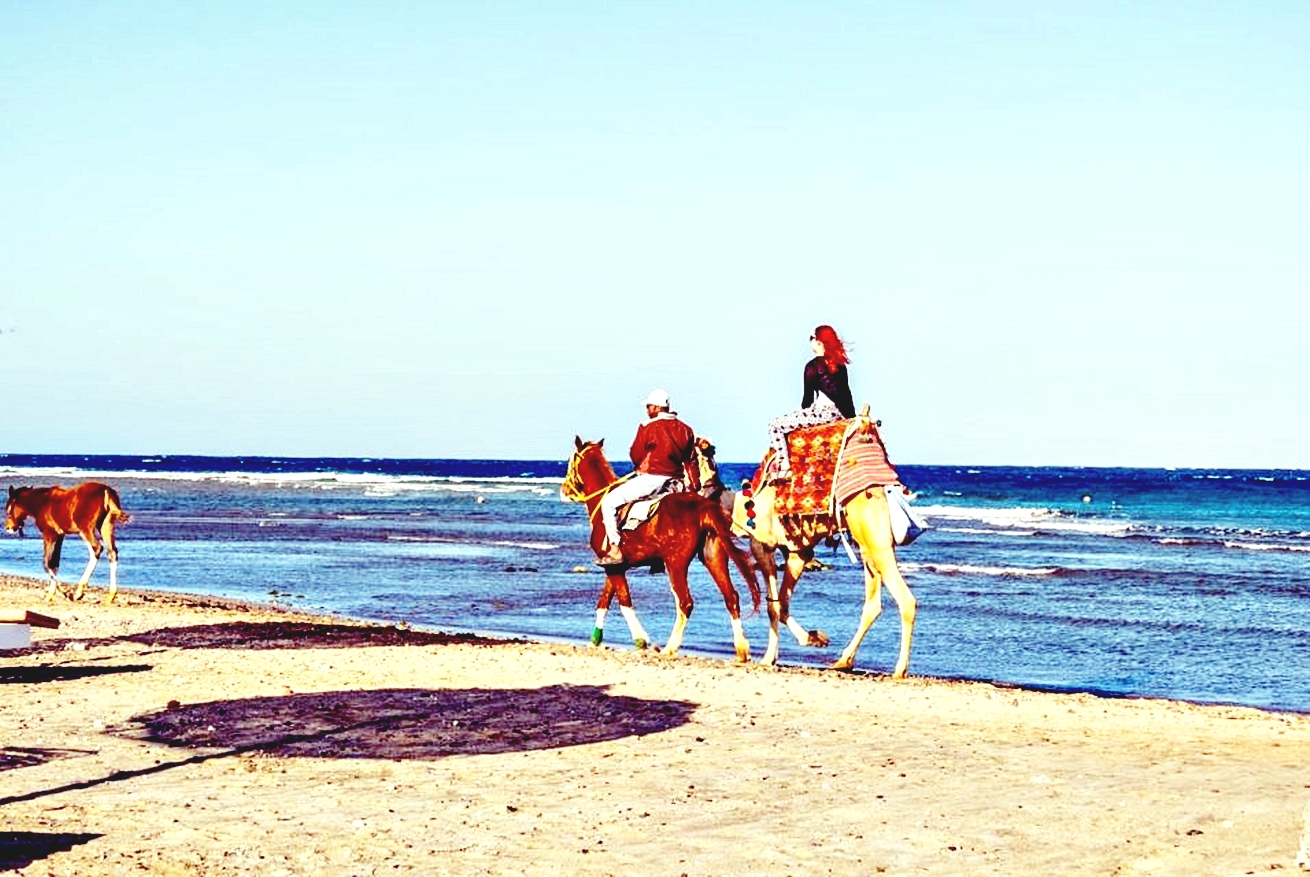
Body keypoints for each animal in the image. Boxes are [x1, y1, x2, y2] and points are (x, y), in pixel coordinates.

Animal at [561, 437, 761, 661]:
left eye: (569, 462)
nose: (563, 491)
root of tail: (702, 506)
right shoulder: (614, 565)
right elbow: (605, 600)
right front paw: (595, 639)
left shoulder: (614, 567)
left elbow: (624, 601)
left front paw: (640, 640)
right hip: (713, 556)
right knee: (731, 597)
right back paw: (741, 649)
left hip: (675, 563)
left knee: (685, 602)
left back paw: (670, 647)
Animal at [727, 413, 918, 677]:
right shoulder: (798, 551)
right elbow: (781, 602)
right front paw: (811, 640)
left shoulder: (762, 544)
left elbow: (773, 606)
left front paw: (773, 655)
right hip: (868, 544)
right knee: (873, 604)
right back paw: (844, 661)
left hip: (876, 541)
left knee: (905, 600)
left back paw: (899, 670)